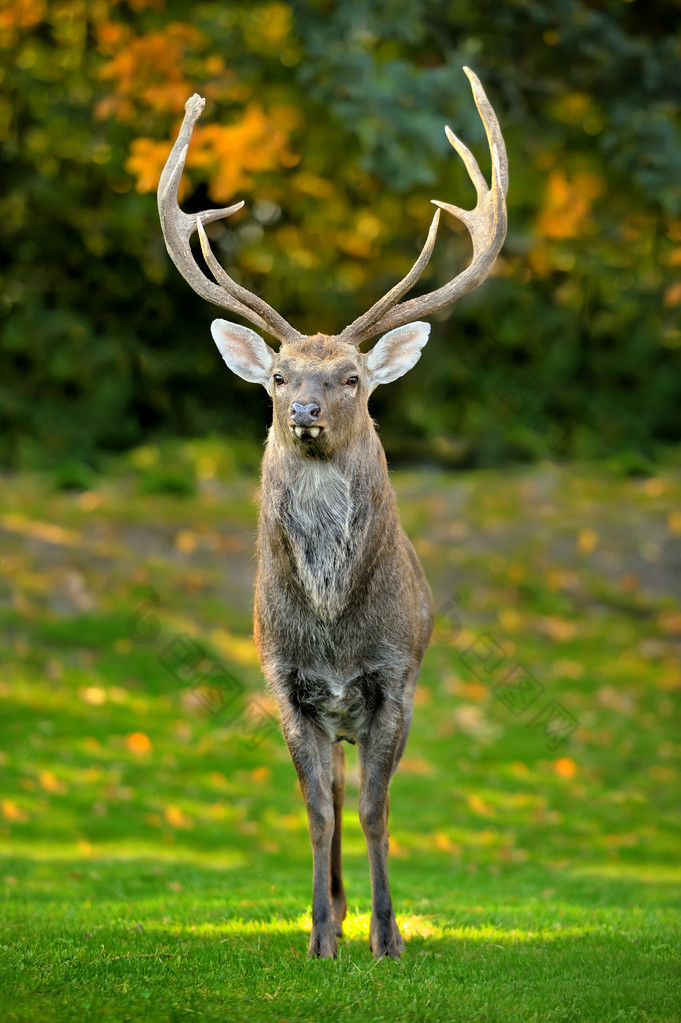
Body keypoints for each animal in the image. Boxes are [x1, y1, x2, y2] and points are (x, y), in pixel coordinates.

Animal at [155, 65, 503, 957]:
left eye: (350, 376)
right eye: (278, 376)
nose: (304, 410)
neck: (334, 627)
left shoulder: (395, 676)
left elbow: (379, 810)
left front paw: (387, 938)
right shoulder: (284, 681)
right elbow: (317, 811)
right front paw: (319, 936)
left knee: (361, 796)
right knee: (337, 793)